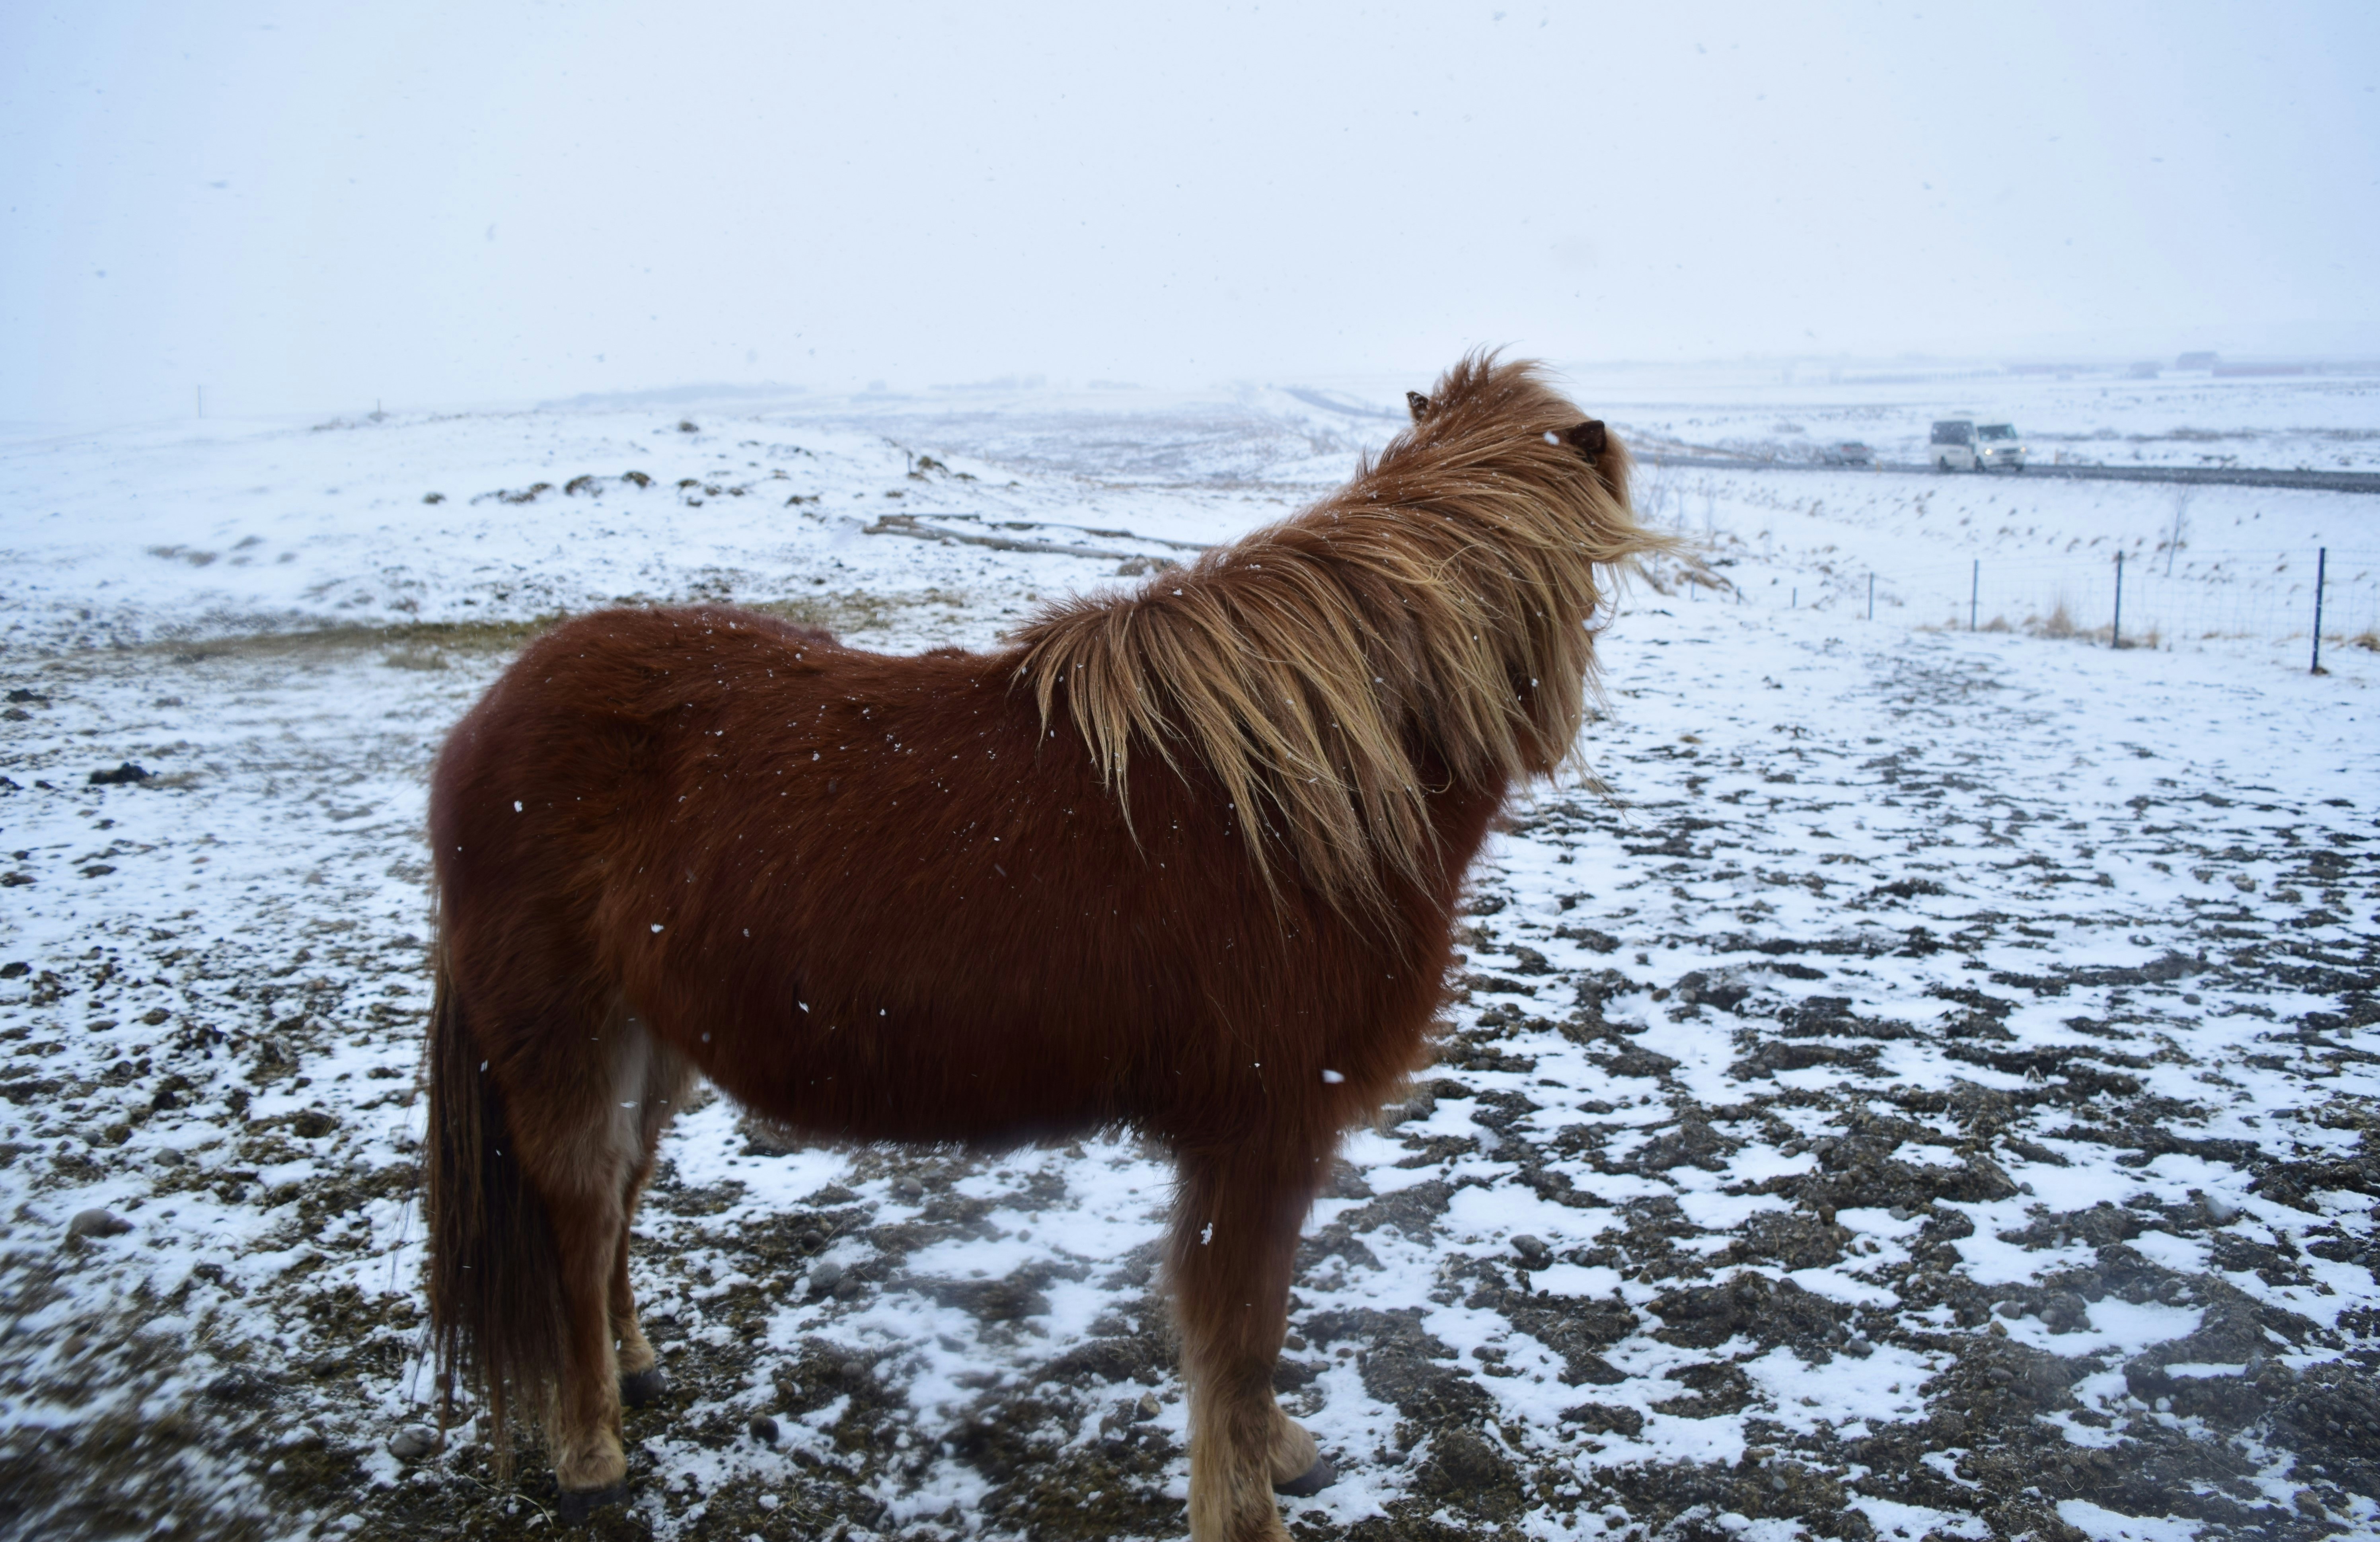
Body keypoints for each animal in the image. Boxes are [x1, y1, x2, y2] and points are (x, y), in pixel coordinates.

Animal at [422, 352, 1658, 1539]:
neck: (1310, 787)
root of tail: (494, 711)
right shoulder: (1263, 1126)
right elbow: (1239, 1333)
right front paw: (1248, 1506)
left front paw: (1278, 1453)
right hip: (563, 1045)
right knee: (579, 1219)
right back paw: (591, 1457)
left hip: (652, 1043)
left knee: (617, 1210)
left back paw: (636, 1370)